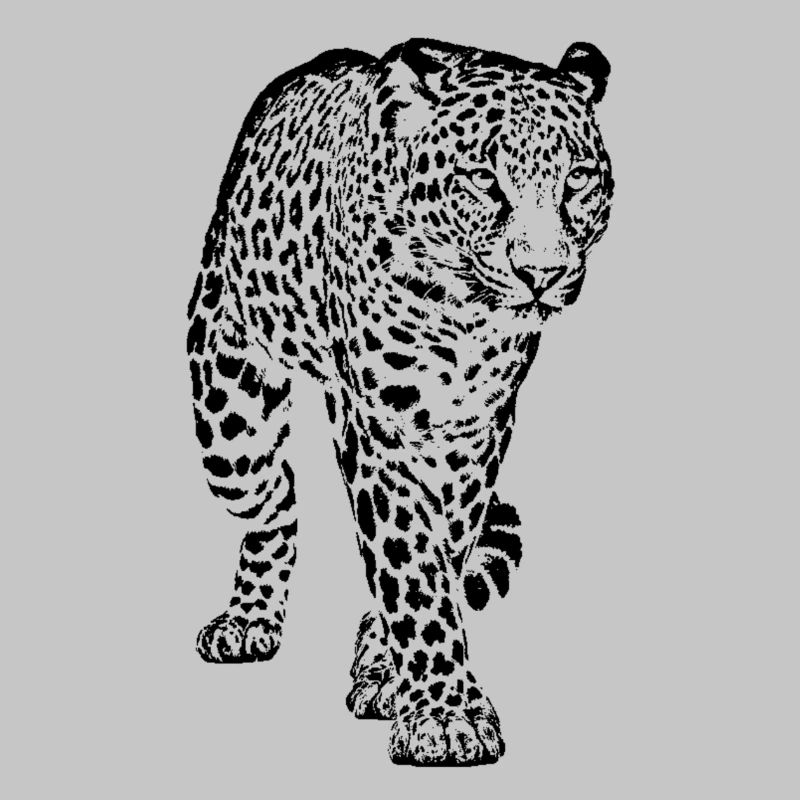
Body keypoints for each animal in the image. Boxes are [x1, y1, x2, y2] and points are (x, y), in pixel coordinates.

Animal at [186, 37, 614, 766]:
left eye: (578, 178)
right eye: (483, 178)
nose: (543, 273)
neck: (466, 315)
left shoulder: (477, 427)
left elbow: (442, 545)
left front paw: (391, 673)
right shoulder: (379, 423)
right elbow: (410, 560)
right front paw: (445, 715)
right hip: (229, 415)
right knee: (275, 498)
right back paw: (248, 619)